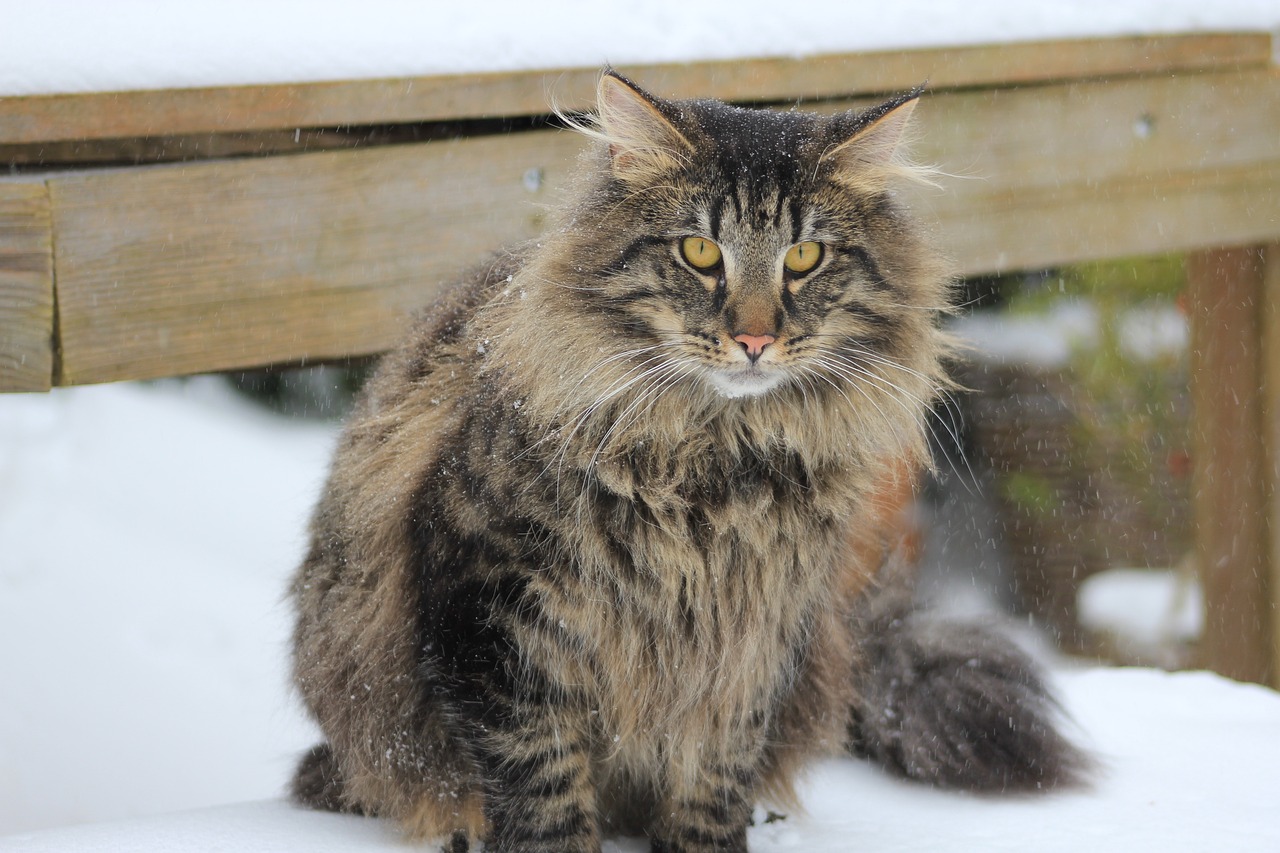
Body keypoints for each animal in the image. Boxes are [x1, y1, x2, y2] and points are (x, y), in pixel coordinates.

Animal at [285, 69, 1085, 845]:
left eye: (804, 256)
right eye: (700, 252)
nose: (756, 338)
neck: (716, 463)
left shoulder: (752, 641)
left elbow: (713, 782)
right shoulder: (495, 618)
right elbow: (545, 791)